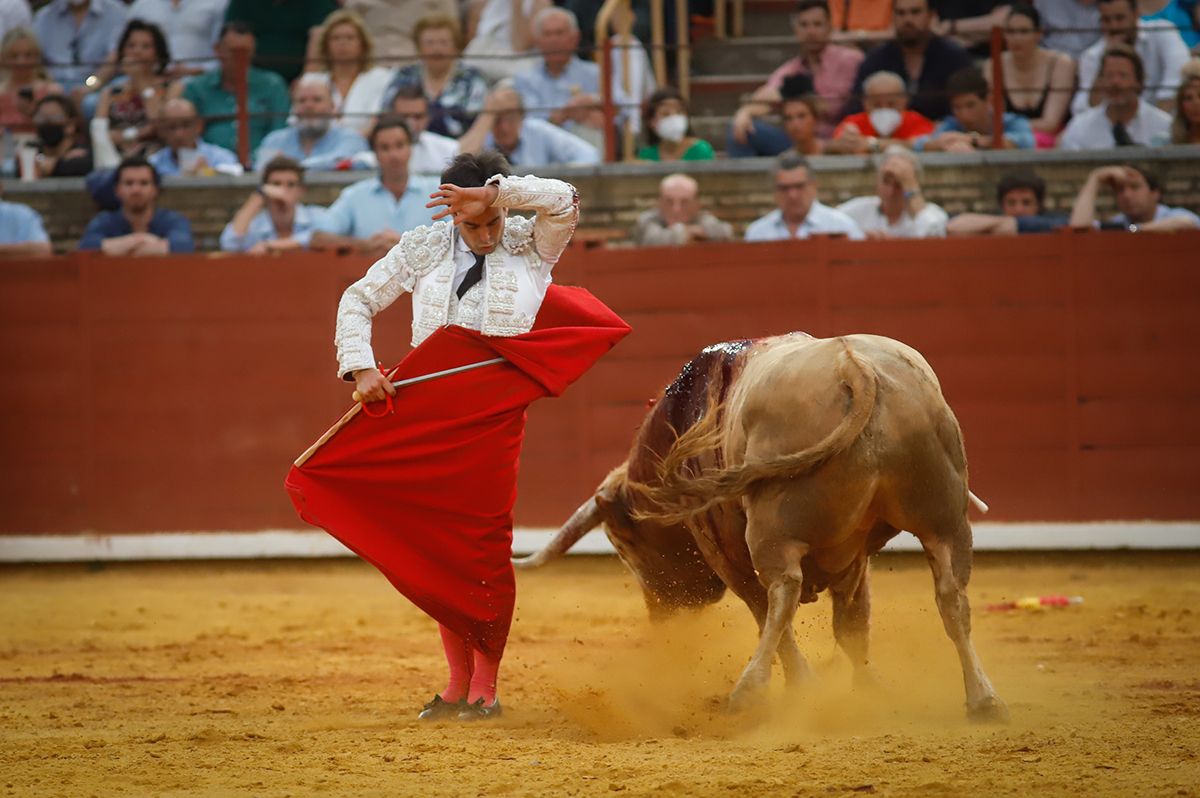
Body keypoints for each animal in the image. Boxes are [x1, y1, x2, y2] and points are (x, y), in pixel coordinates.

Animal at [520, 333, 1008, 720]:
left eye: (622, 542)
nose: (660, 613)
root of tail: (856, 368)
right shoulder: (855, 556)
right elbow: (853, 624)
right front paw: (867, 691)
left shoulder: (723, 549)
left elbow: (766, 611)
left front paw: (804, 686)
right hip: (943, 520)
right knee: (952, 597)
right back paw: (983, 699)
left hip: (772, 532)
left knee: (782, 595)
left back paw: (752, 691)